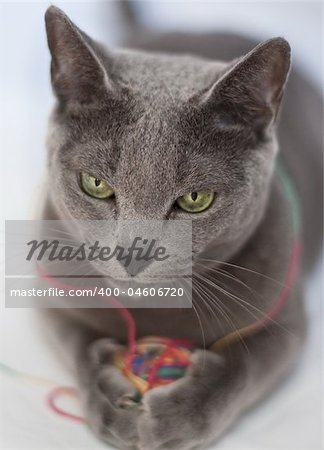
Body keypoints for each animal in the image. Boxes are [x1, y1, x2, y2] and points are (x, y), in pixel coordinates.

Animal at [41, 4, 322, 450]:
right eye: (95, 184)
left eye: (195, 199)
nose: (133, 254)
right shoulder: (52, 294)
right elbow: (79, 344)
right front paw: (107, 400)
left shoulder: (288, 318)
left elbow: (245, 367)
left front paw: (179, 416)